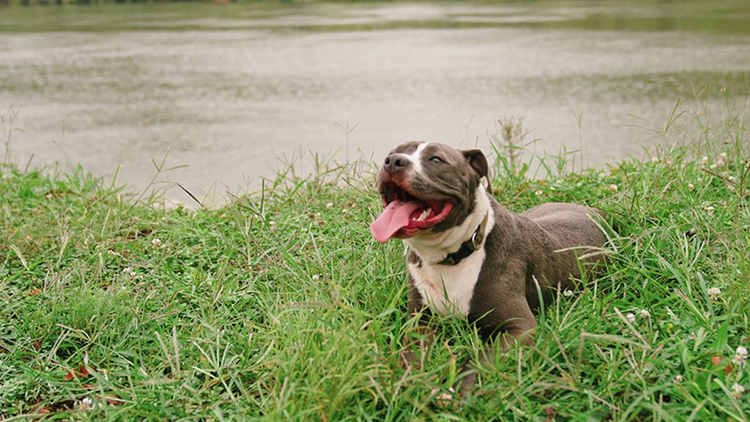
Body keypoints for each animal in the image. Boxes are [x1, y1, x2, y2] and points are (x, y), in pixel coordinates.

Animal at [372, 141, 612, 398]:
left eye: (436, 160)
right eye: (393, 152)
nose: (393, 161)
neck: (451, 256)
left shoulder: (519, 328)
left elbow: (482, 359)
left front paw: (458, 390)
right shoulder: (421, 321)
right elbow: (410, 354)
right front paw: (404, 383)